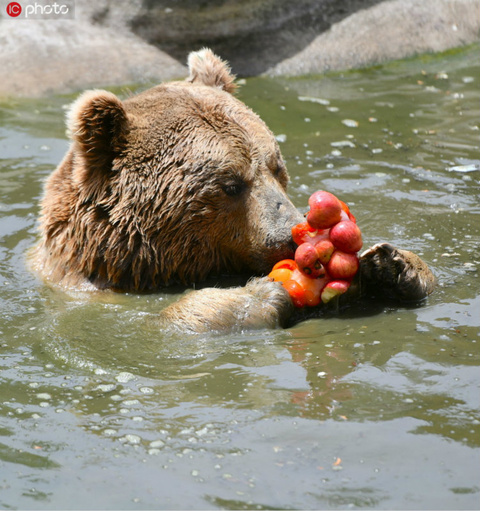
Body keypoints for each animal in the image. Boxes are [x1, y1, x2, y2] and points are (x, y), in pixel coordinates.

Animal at [30, 49, 436, 336]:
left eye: (276, 166)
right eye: (231, 184)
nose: (290, 233)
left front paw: (391, 264)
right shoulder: (89, 303)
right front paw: (258, 294)